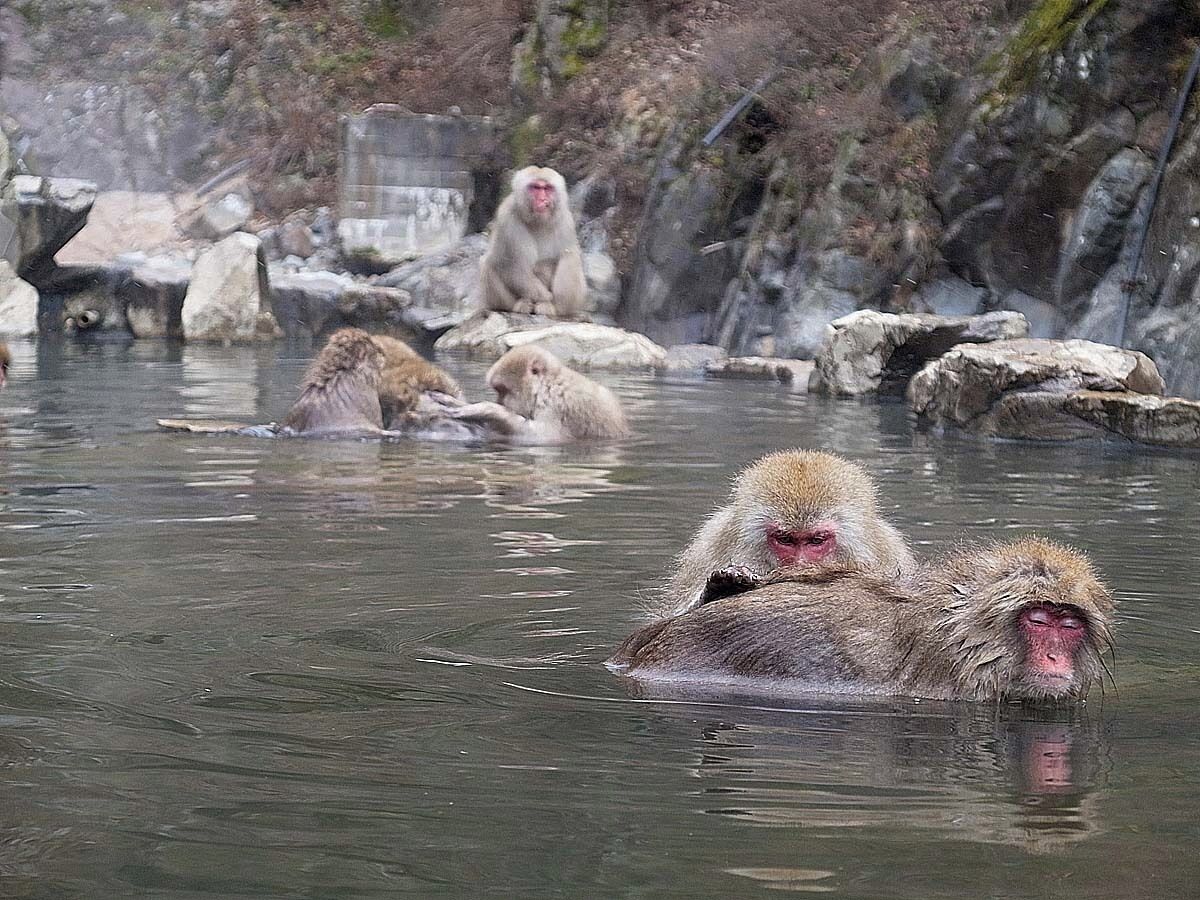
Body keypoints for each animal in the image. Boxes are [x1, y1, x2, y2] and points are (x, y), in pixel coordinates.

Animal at [441, 344, 629, 443]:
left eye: (503, 391)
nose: (499, 401)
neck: (547, 385)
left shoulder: (554, 404)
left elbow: (544, 437)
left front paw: (487, 410)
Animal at [479, 166, 587, 319]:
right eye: (535, 187)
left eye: (547, 188)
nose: (542, 199)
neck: (537, 221)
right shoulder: (507, 216)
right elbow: (510, 264)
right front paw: (545, 297)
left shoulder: (565, 221)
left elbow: (565, 255)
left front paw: (549, 302)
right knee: (488, 264)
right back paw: (520, 304)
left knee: (569, 256)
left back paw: (555, 308)